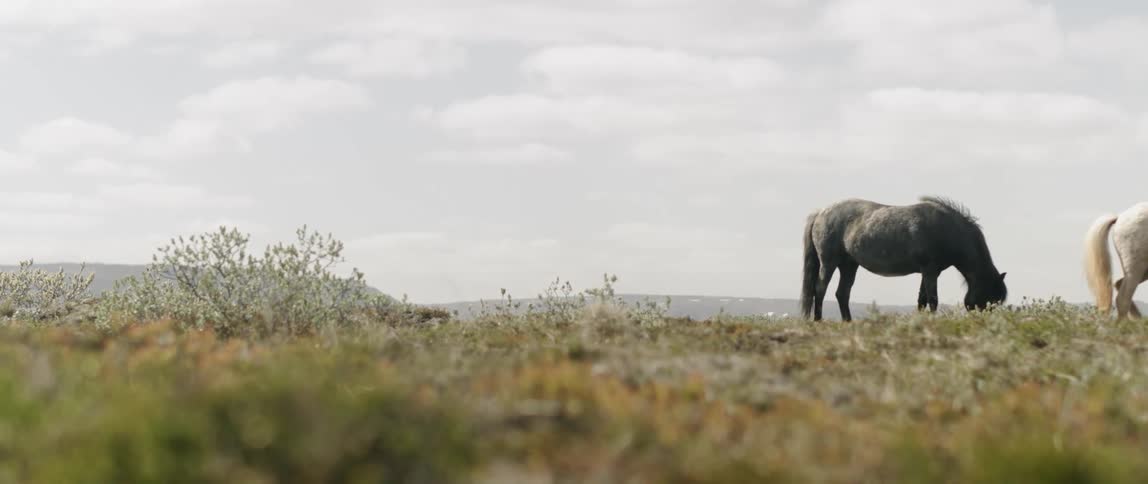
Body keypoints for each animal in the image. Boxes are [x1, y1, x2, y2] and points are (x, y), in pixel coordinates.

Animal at [800, 196, 1008, 321]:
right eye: (989, 298)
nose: (982, 323)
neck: (949, 230)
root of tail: (820, 212)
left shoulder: (928, 272)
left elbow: (922, 300)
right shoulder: (930, 271)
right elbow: (933, 299)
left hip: (849, 265)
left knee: (842, 294)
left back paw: (848, 322)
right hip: (829, 263)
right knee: (820, 289)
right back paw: (818, 320)